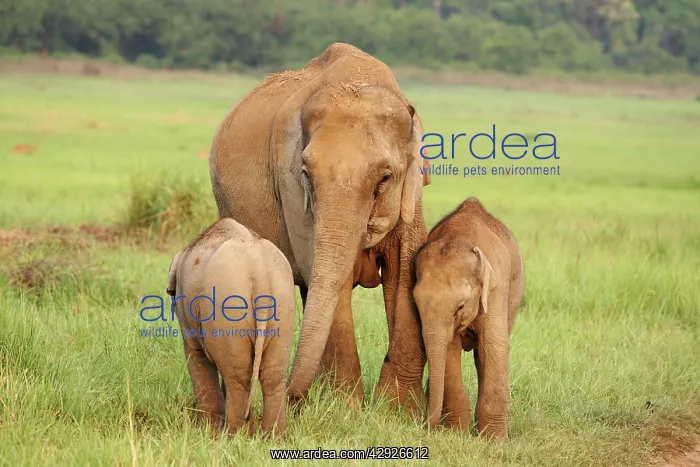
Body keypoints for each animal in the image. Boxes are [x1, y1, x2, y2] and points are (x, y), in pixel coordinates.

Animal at [166, 218, 295, 438]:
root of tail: (258, 268)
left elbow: (196, 355)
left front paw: (207, 432)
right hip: (282, 303)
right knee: (273, 374)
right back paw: (272, 438)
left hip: (228, 305)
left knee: (238, 377)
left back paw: (234, 436)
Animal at [208, 42, 431, 411]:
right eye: (306, 175)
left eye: (385, 178)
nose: (286, 396)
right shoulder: (292, 192)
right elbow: (324, 274)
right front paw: (346, 411)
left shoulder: (411, 199)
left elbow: (404, 271)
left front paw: (396, 412)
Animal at [412, 197, 525, 439]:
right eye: (416, 304)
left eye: (460, 307)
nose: (426, 428)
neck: (458, 236)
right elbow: (450, 349)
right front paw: (456, 433)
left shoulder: (496, 289)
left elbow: (494, 346)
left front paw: (495, 441)